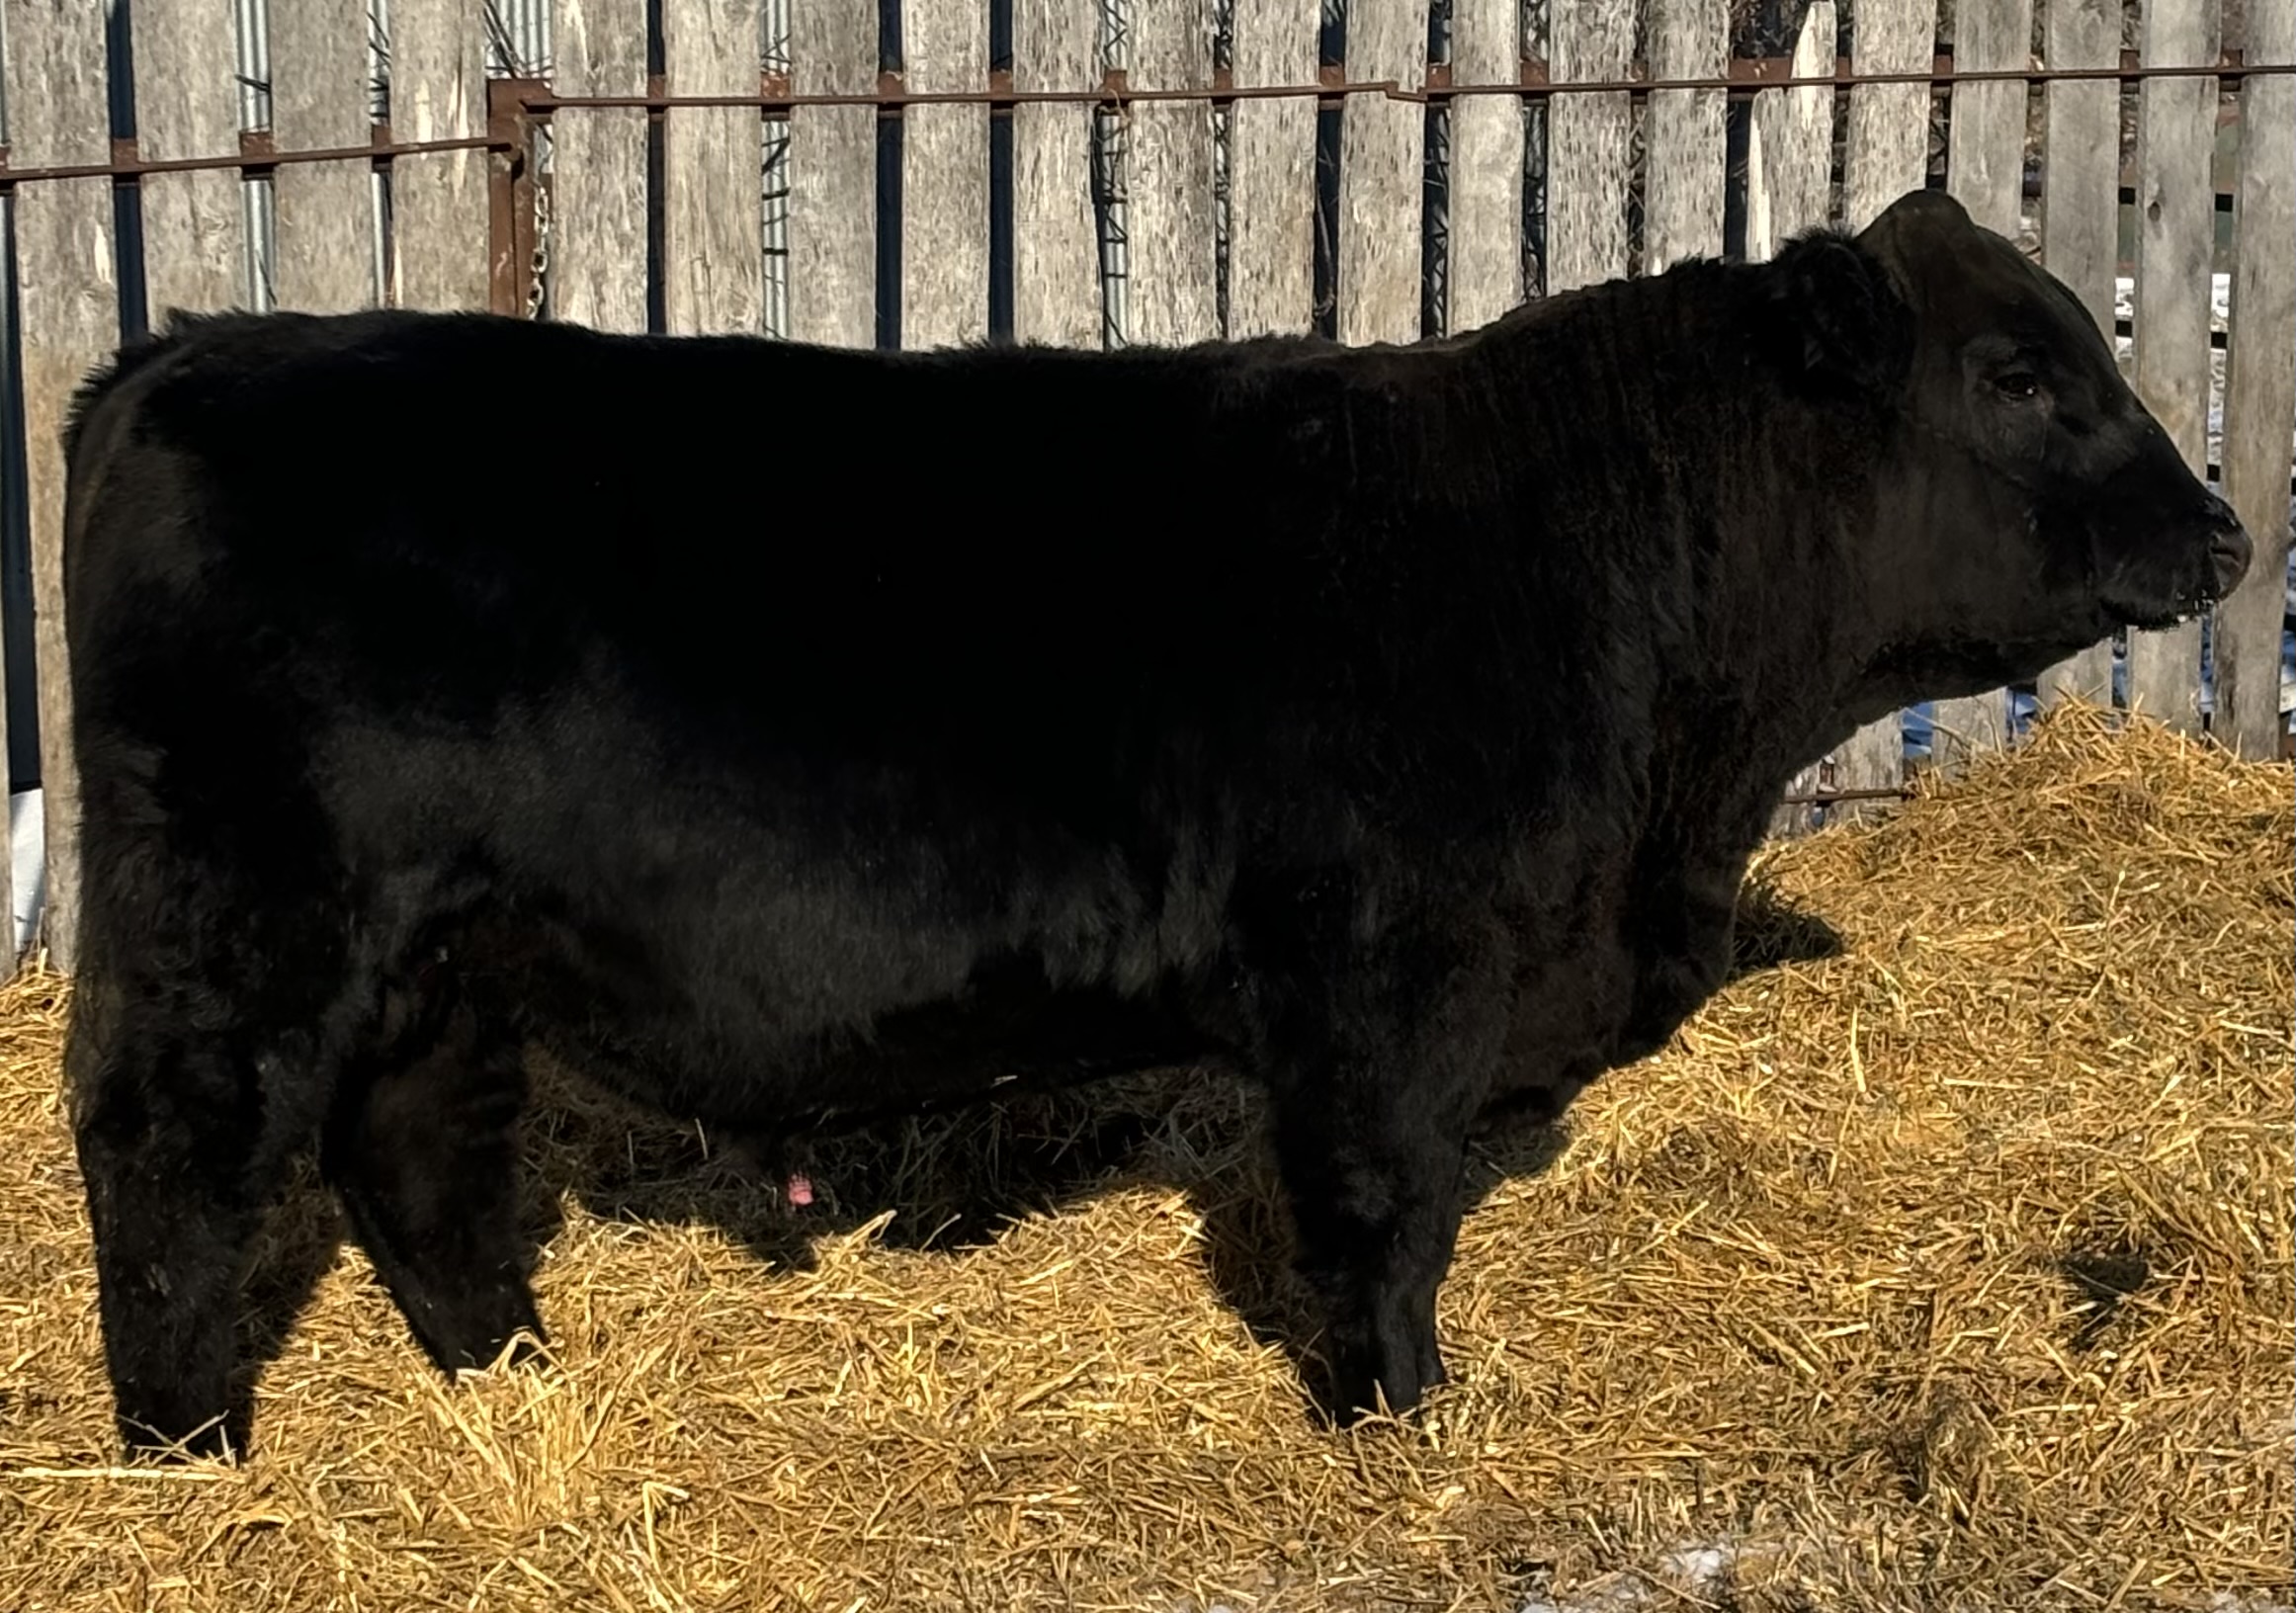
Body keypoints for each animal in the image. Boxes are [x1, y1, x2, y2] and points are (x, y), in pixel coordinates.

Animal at [59, 188, 2249, 1457]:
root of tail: (188, 352)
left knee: (412, 1147)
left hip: (435, 947)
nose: (2224, 531)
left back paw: (514, 1381)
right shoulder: (1385, 974)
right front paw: (1397, 1426)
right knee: (173, 1146)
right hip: (247, 907)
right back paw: (186, 1447)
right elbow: (1377, 1213)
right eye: (2019, 374)